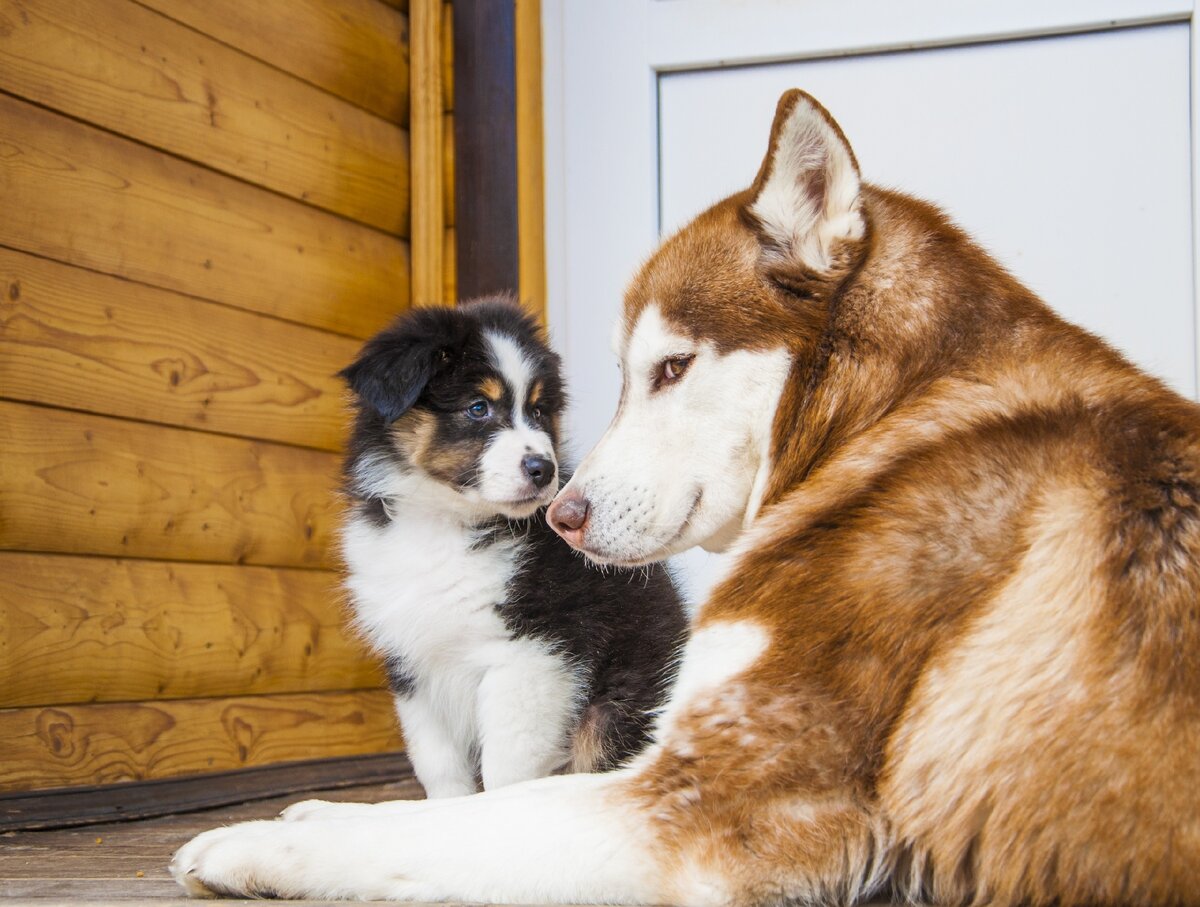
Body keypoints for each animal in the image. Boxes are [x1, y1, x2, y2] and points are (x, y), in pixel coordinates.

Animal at [338, 296, 686, 791]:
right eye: (478, 407)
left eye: (539, 412)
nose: (544, 469)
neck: (448, 524)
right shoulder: (414, 665)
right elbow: (438, 766)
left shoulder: (532, 652)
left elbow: (506, 767)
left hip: (616, 707)